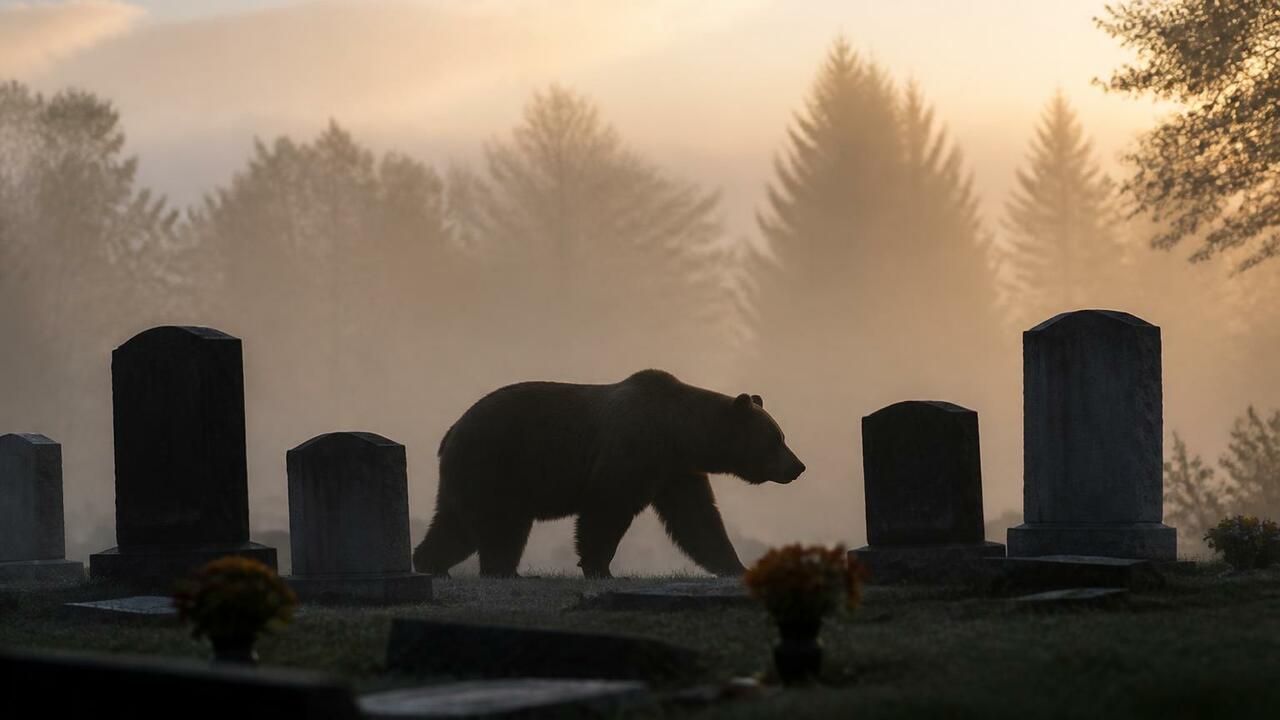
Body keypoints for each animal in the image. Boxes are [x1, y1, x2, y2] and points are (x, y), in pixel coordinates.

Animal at [412, 369, 805, 578]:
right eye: (777, 439)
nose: (798, 466)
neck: (679, 433)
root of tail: (451, 431)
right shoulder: (631, 453)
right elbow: (606, 512)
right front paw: (600, 566)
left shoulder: (676, 472)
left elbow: (698, 521)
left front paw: (735, 565)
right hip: (498, 461)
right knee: (498, 525)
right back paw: (504, 569)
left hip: (471, 474)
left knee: (456, 524)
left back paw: (432, 563)